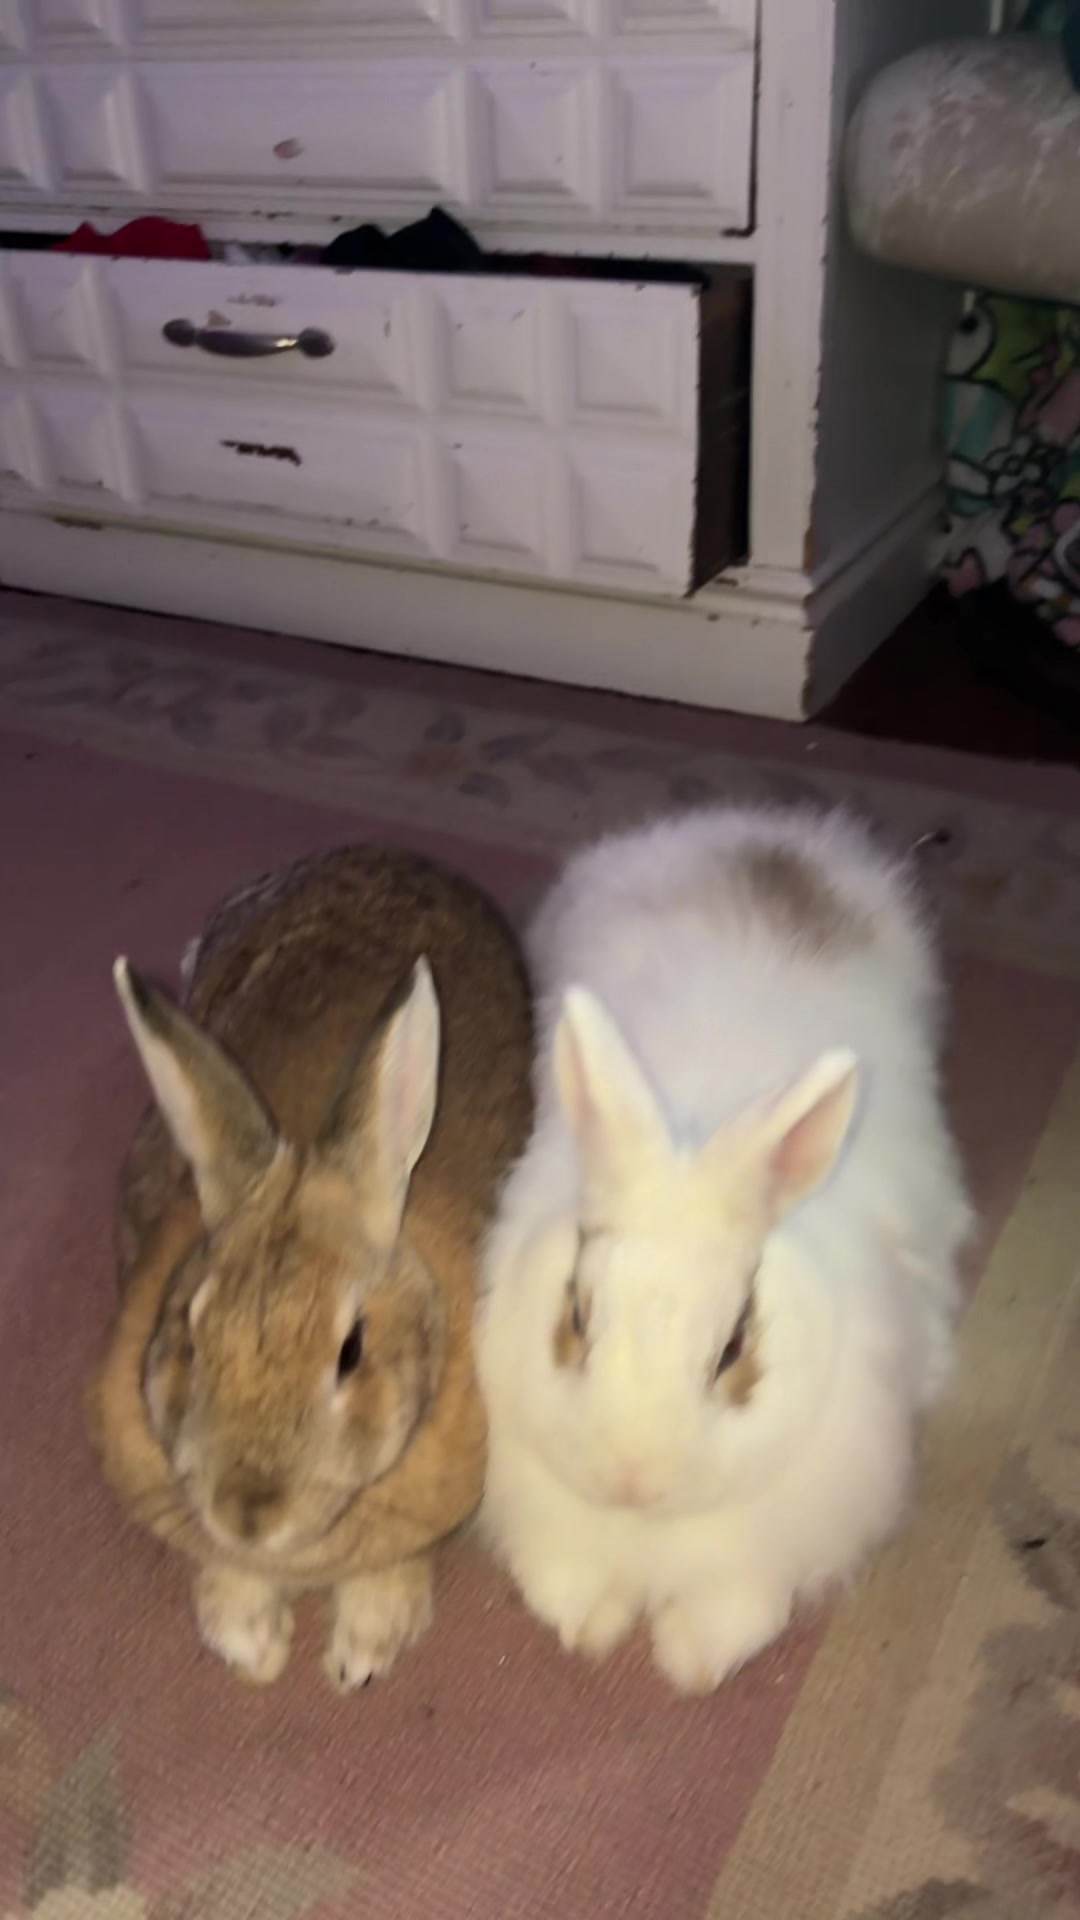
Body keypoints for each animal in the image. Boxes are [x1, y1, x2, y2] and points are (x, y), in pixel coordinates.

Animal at [475, 804, 972, 1695]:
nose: (633, 1478)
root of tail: (755, 828)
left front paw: (687, 1659)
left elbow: (746, 1609)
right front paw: (591, 1627)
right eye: (577, 1316)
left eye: (734, 1347)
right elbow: (561, 1582)